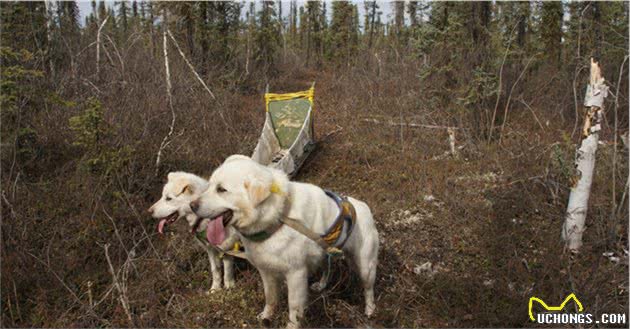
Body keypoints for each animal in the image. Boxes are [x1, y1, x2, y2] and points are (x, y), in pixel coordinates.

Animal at [191, 155, 380, 326]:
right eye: (209, 186)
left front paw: (290, 325)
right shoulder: (266, 270)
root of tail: (363, 207)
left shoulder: (296, 274)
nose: (192, 206)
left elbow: (294, 309)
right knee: (327, 267)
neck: (278, 218)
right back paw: (321, 285)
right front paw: (266, 317)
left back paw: (370, 310)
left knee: (368, 289)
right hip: (324, 252)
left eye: (221, 189)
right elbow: (270, 298)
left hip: (366, 267)